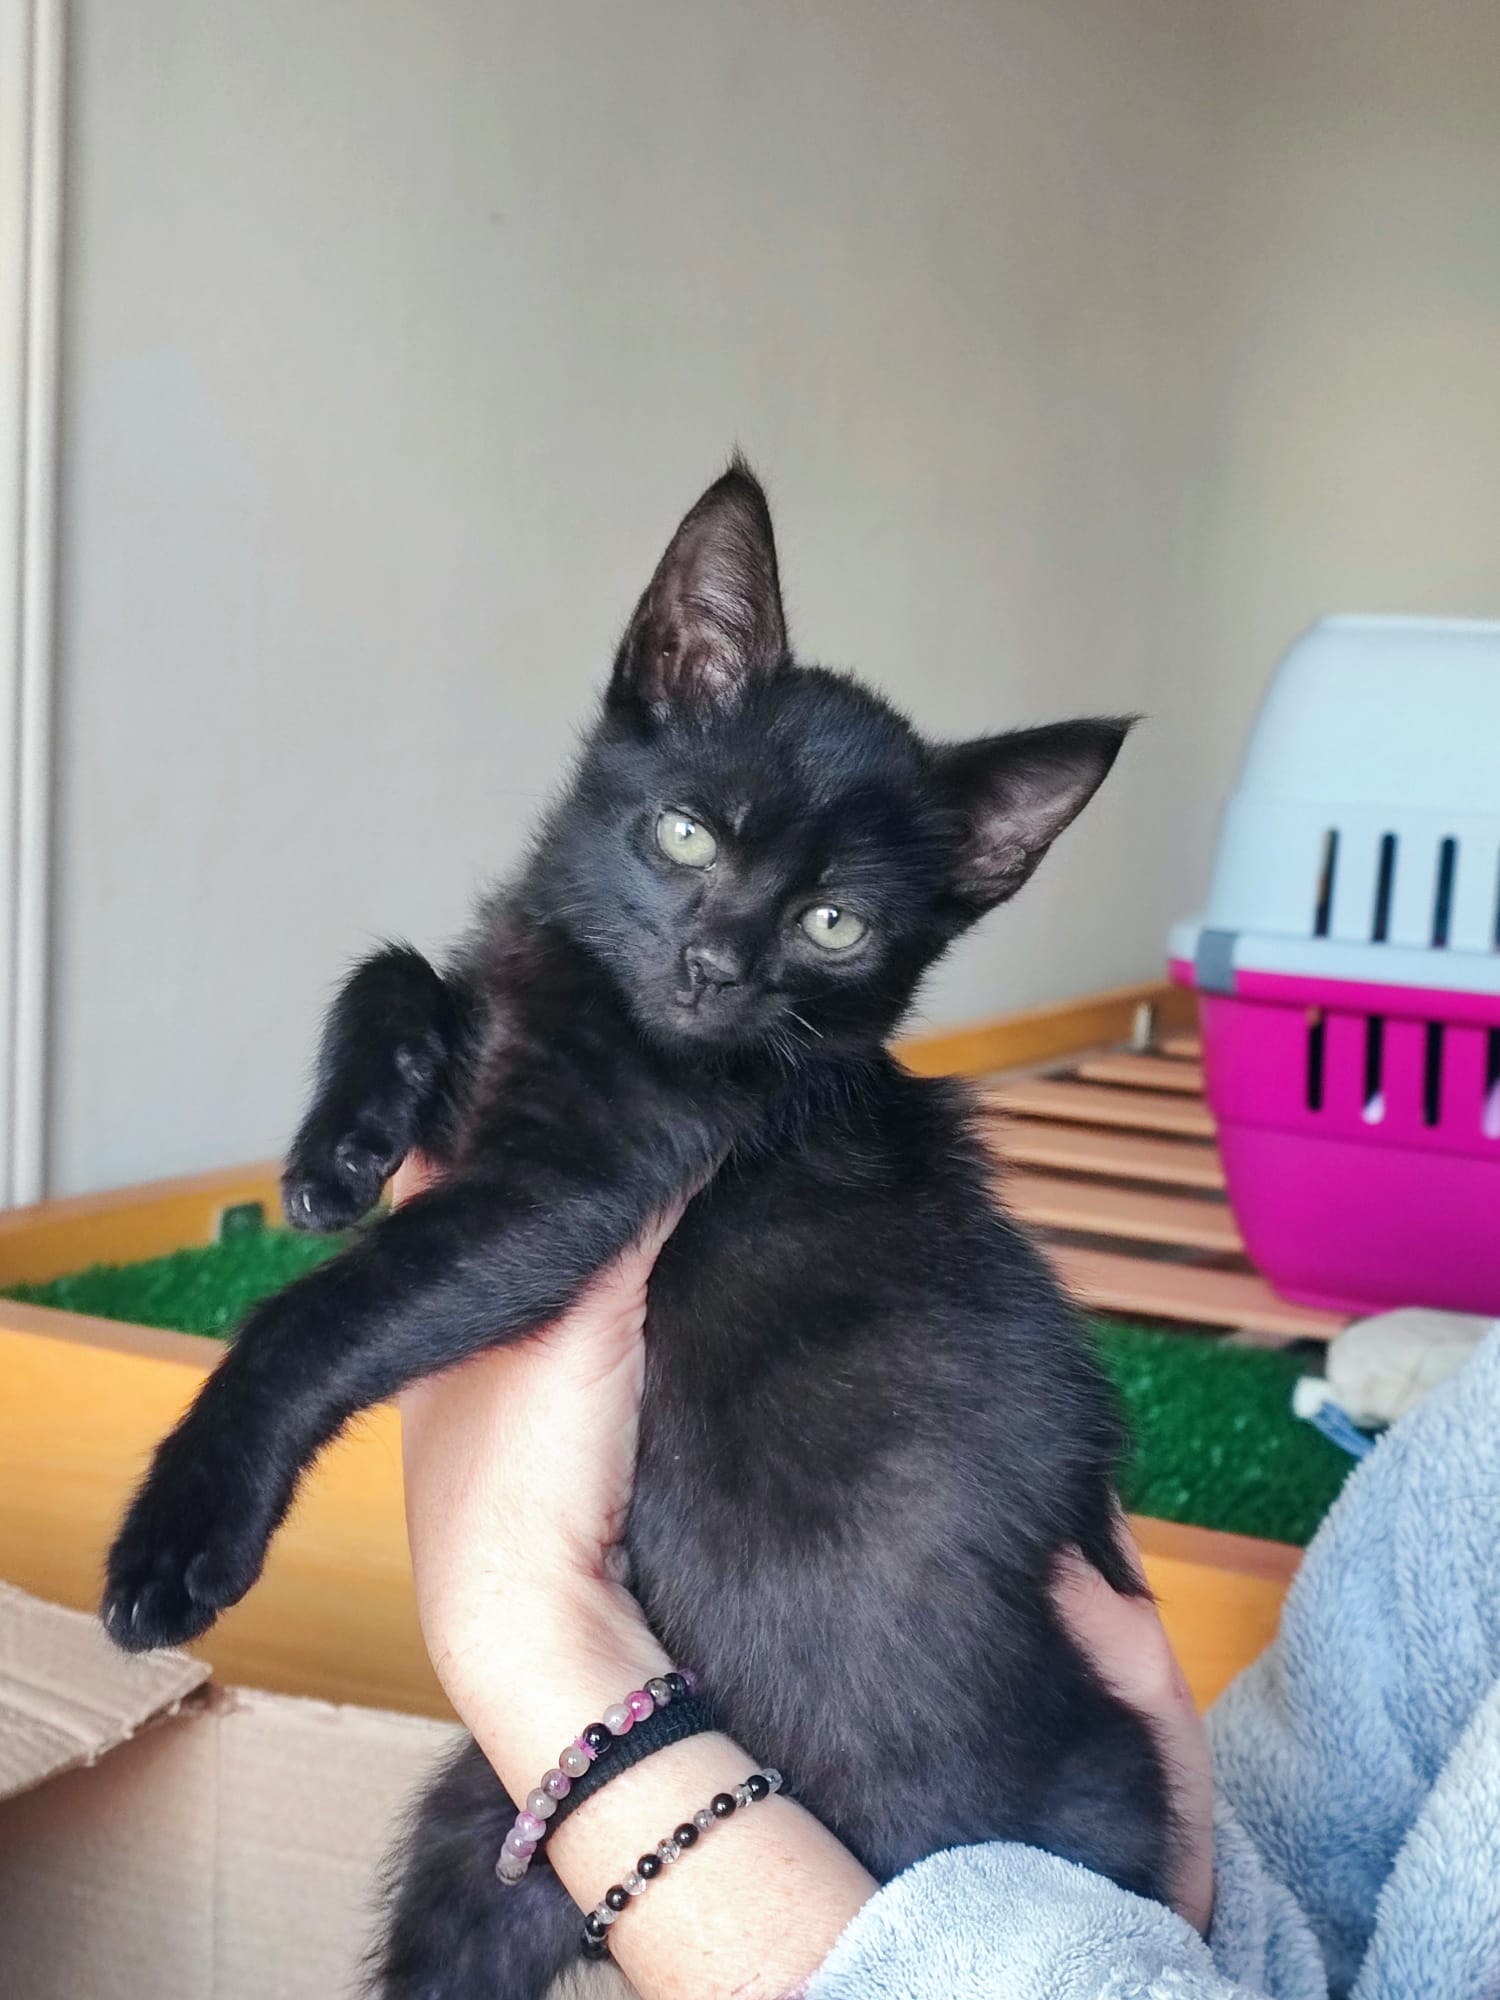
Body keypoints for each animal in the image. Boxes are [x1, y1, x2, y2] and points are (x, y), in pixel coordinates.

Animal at [103, 463, 1171, 1997]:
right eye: (684, 832)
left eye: (835, 924)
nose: (713, 964)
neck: (607, 1005)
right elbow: (399, 967)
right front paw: (338, 1148)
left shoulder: (575, 1188)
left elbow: (315, 1313)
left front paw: (180, 1532)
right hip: (489, 1829)